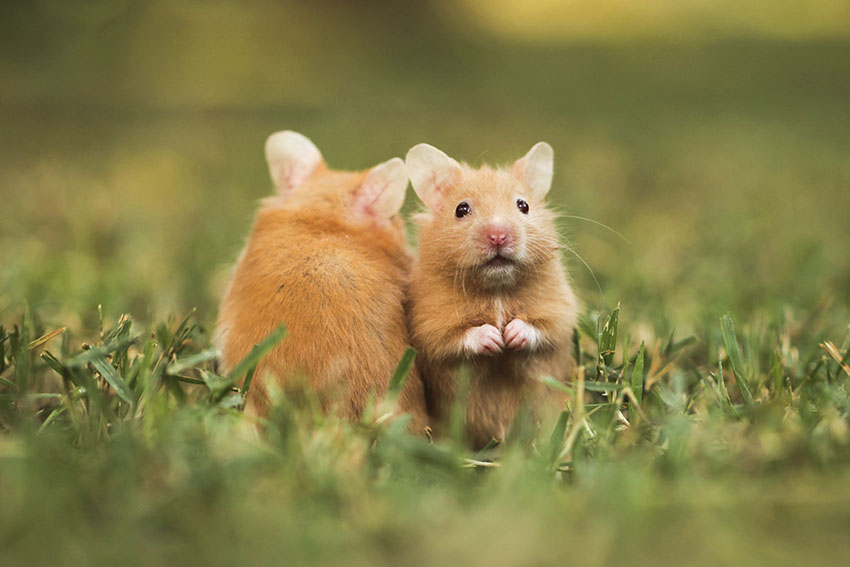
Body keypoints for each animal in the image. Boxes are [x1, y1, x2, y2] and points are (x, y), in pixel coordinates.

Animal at [406, 141, 580, 448]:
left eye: (523, 205)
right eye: (461, 209)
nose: (498, 235)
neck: (496, 288)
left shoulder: (559, 307)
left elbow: (545, 327)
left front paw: (511, 335)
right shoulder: (428, 322)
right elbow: (455, 337)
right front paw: (495, 339)